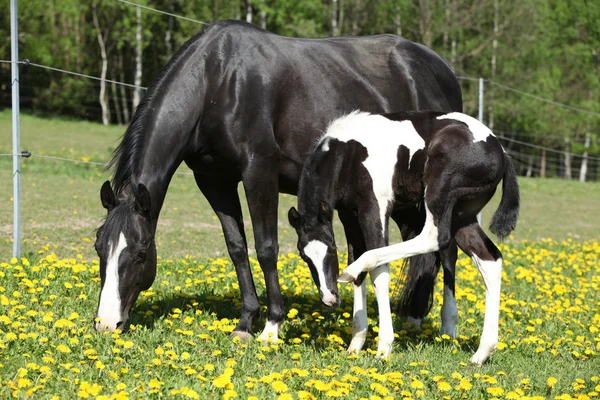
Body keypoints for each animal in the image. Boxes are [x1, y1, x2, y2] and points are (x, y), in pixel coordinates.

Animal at [288, 110, 516, 362]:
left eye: (330, 248)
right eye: (304, 256)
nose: (329, 298)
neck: (347, 156)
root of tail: (501, 151)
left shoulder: (375, 207)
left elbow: (378, 272)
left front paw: (383, 348)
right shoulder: (349, 215)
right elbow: (358, 270)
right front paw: (355, 344)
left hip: (440, 191)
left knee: (435, 238)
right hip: (462, 215)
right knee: (490, 258)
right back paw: (481, 354)